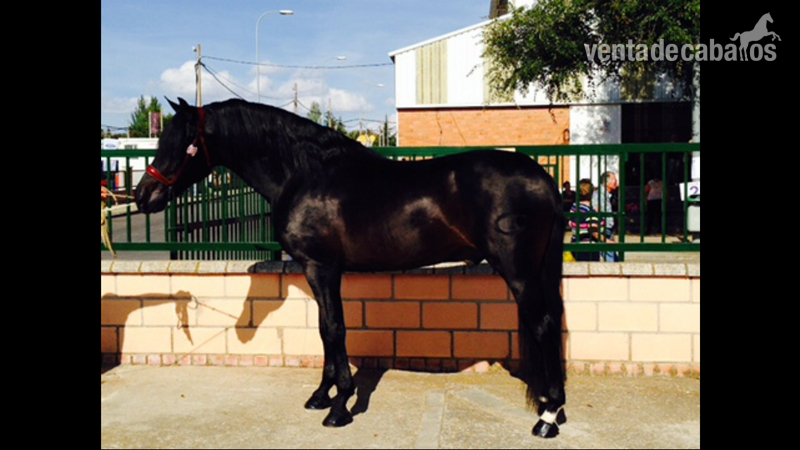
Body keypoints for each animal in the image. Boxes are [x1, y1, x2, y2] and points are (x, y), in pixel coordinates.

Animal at [135, 97, 568, 438]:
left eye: (184, 144)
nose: (143, 196)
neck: (304, 174)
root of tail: (543, 179)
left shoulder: (322, 267)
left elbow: (333, 329)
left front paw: (340, 406)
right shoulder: (321, 271)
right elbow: (325, 330)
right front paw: (320, 396)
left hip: (519, 270)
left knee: (544, 325)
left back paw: (547, 417)